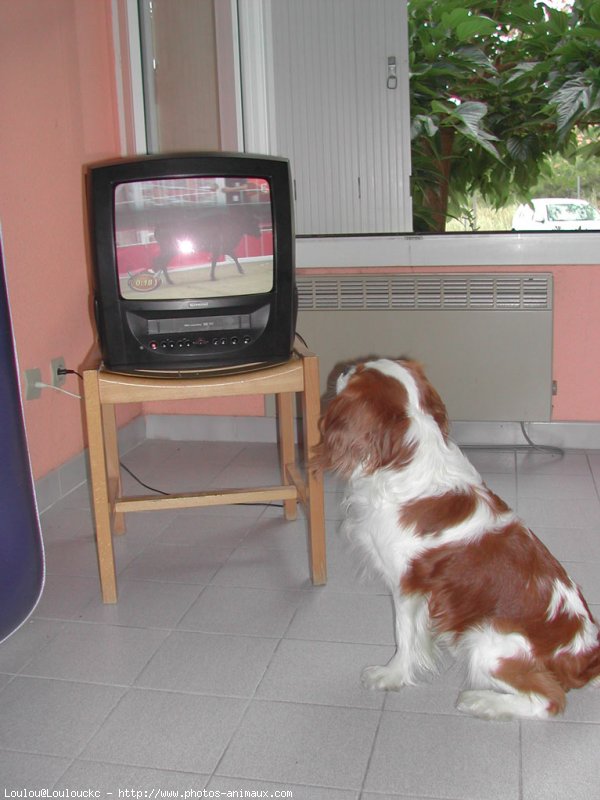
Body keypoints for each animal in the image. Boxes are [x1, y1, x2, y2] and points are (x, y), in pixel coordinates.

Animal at [314, 356, 600, 720]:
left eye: (359, 372)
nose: (344, 368)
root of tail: (586, 655)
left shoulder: (407, 586)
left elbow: (403, 637)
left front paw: (391, 675)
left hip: (486, 645)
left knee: (549, 700)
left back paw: (481, 701)